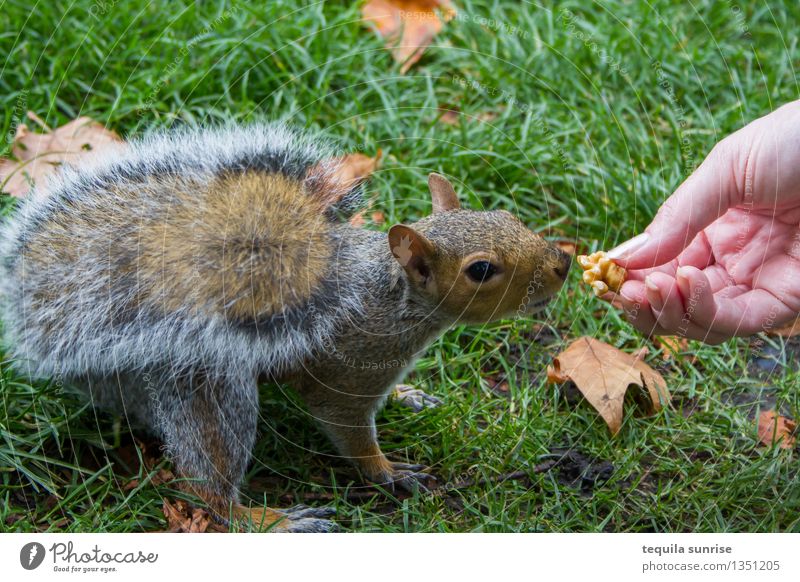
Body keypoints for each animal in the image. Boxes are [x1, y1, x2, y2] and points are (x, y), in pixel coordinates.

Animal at [1, 124, 576, 532]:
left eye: (505, 214)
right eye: (481, 270)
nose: (562, 264)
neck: (393, 301)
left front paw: (410, 395)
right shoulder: (347, 373)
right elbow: (348, 429)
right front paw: (386, 470)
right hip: (210, 388)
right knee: (207, 485)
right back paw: (267, 520)